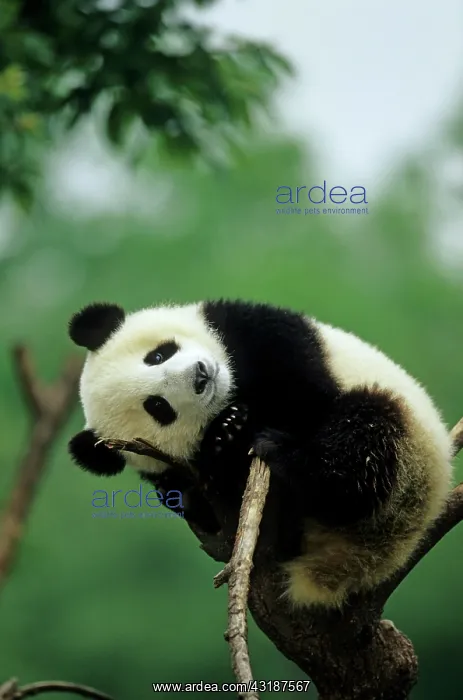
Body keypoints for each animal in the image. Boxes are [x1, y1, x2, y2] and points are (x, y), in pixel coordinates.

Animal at [68, 299, 453, 608]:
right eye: (158, 407)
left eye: (158, 355)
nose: (201, 376)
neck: (233, 389)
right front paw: (222, 440)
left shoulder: (260, 332)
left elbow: (305, 394)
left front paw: (234, 426)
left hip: (412, 446)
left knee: (365, 432)